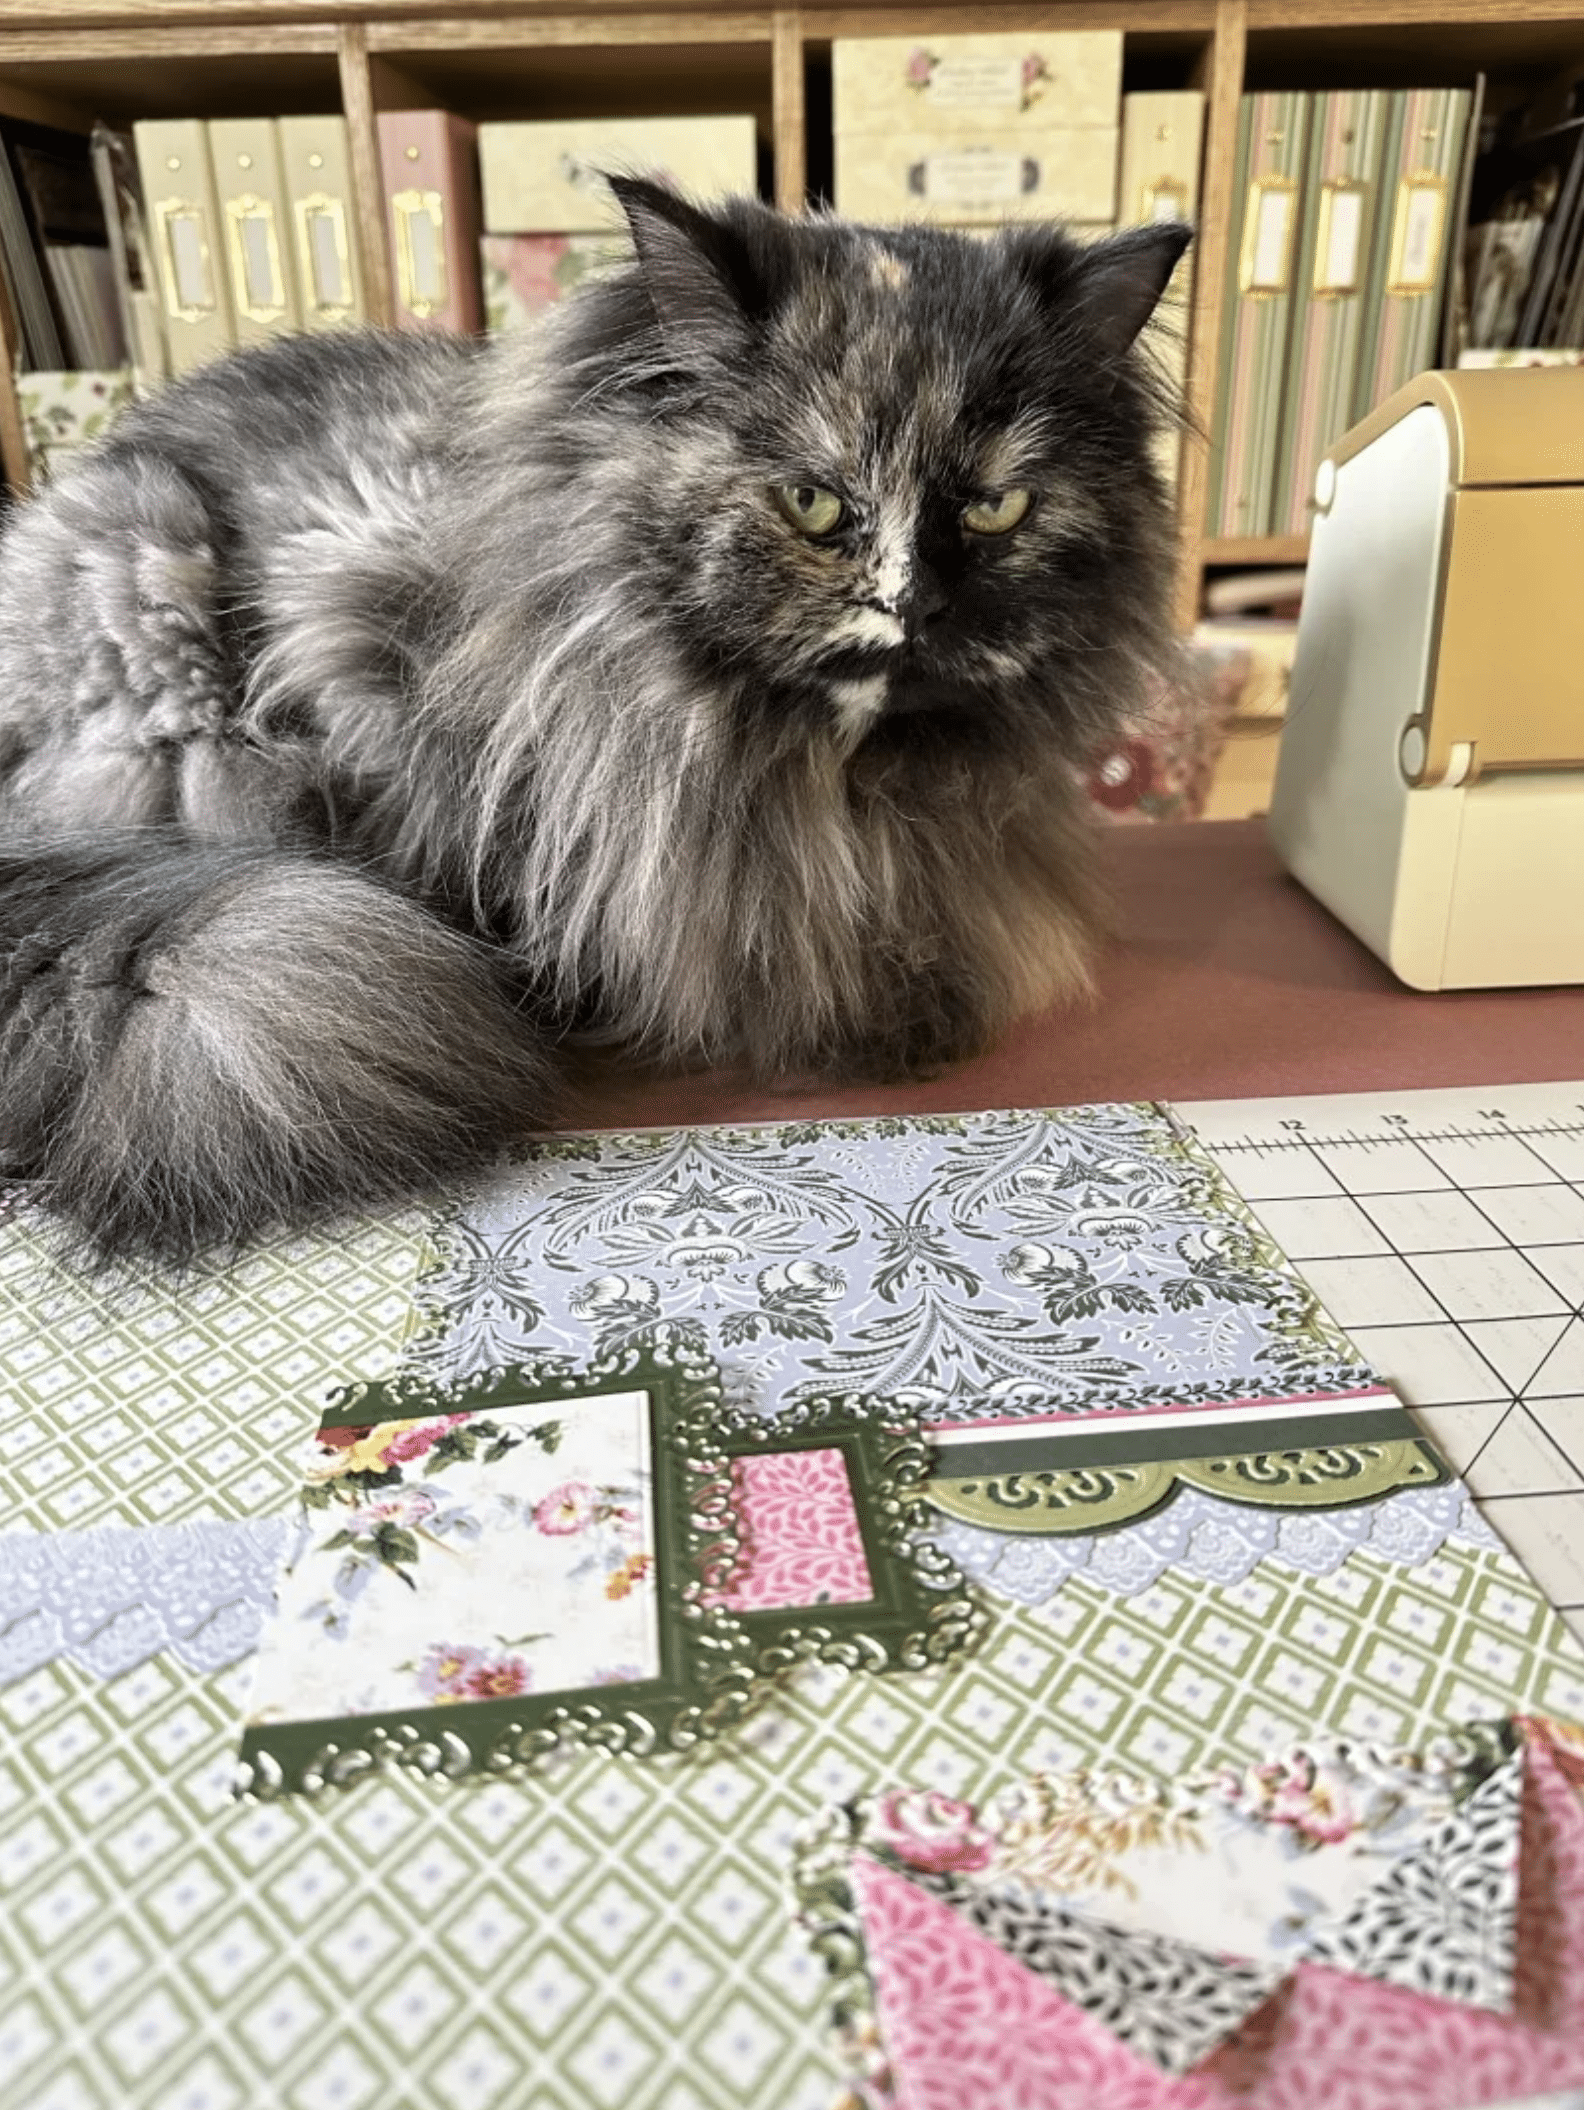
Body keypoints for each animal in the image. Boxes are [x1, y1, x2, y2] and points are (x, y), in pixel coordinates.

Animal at [0, 181, 1189, 1257]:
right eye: (812, 503)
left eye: (996, 509)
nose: (912, 607)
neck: (825, 778)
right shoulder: (359, 639)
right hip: (169, 638)